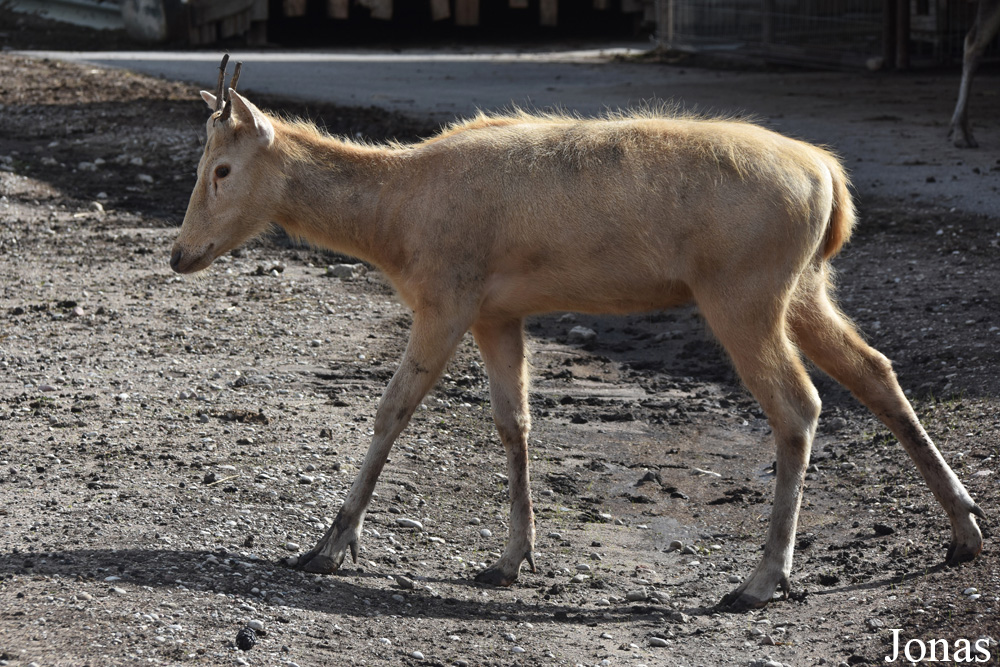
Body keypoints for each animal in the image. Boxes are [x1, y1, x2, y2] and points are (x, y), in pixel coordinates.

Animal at [172, 57, 984, 612]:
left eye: (221, 168)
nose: (179, 254)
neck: (396, 226)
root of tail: (833, 183)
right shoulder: (497, 309)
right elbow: (515, 421)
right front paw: (510, 559)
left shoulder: (447, 294)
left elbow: (393, 408)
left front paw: (327, 547)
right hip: (806, 285)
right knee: (876, 369)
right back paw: (965, 531)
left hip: (743, 288)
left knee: (800, 404)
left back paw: (761, 579)